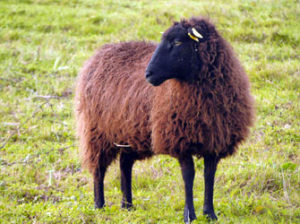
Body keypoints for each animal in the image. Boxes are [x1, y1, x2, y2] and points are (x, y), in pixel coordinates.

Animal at [75, 16, 255, 222]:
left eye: (177, 42)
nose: (148, 74)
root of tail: (101, 52)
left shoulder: (215, 142)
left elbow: (209, 175)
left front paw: (210, 214)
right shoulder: (180, 140)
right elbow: (188, 176)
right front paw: (190, 215)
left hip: (129, 132)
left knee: (125, 165)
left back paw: (127, 205)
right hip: (97, 132)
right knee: (98, 168)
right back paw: (99, 205)